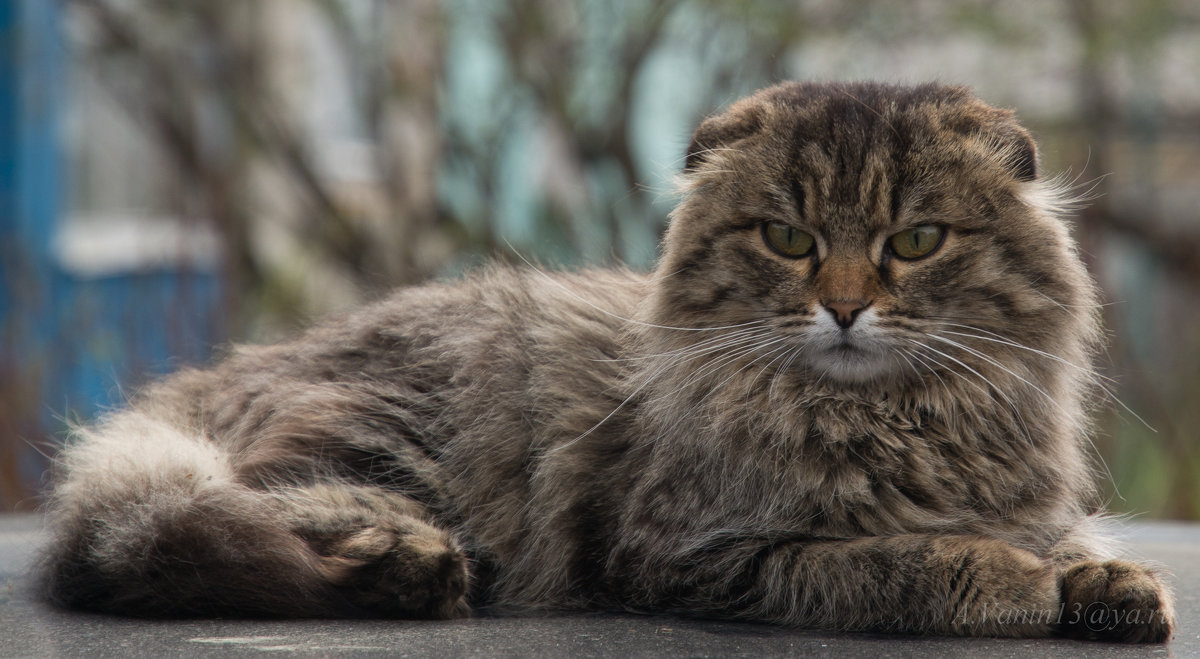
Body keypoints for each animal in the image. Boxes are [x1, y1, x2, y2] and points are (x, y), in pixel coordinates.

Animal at [39, 82, 1171, 643]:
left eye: (917, 241)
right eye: (790, 240)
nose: (845, 307)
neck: (895, 421)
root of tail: (213, 377)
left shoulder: (1033, 499)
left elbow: (1077, 544)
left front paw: (1110, 581)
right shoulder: (698, 554)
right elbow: (894, 560)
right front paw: (1012, 577)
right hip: (390, 443)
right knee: (211, 520)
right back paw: (411, 568)